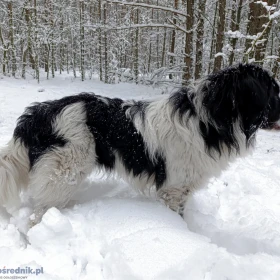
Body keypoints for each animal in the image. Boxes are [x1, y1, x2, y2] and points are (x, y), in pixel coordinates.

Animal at [0, 64, 280, 219]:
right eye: (273, 91)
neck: (208, 119)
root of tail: (38, 114)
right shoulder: (175, 189)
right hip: (62, 172)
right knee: (38, 215)